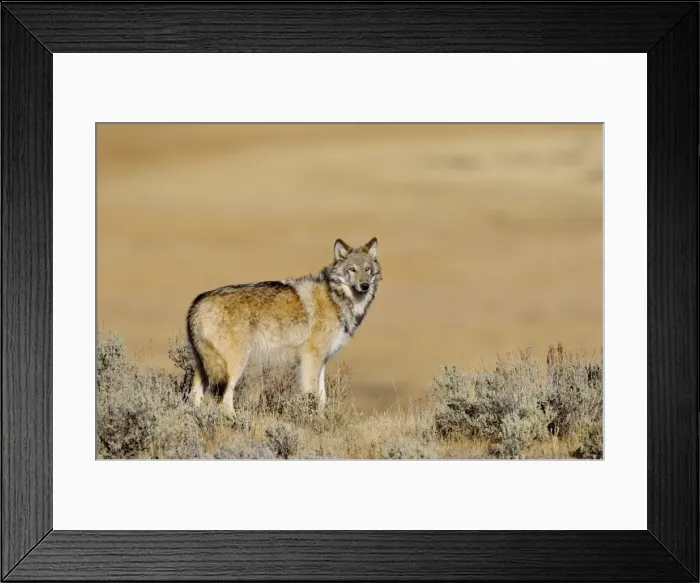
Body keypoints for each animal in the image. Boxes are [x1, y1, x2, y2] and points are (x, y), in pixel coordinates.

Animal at [186, 238, 381, 411]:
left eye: (367, 269)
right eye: (352, 270)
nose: (364, 285)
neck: (335, 298)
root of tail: (198, 302)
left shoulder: (322, 359)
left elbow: (322, 397)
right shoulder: (311, 358)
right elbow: (312, 396)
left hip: (205, 366)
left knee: (195, 395)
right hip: (234, 365)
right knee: (223, 400)